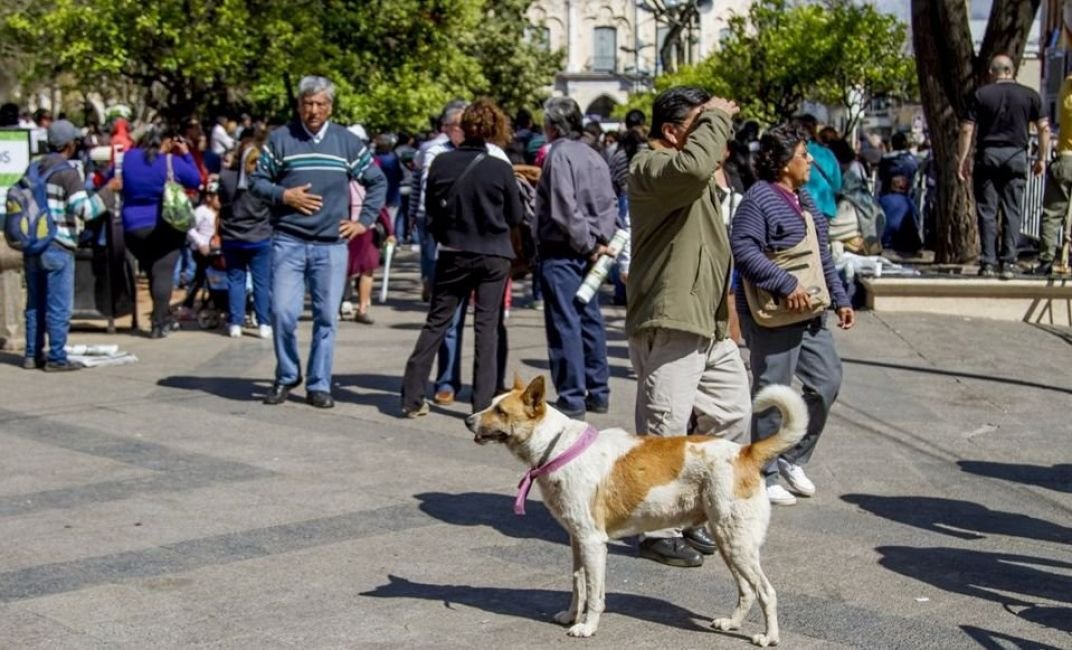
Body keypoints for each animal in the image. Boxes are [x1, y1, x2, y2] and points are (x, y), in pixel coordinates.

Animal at [465, 376, 807, 646]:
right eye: (491, 404)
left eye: (500, 411)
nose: (468, 420)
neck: (557, 447)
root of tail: (745, 452)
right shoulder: (577, 540)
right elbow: (578, 585)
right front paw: (571, 616)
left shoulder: (593, 543)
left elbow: (594, 594)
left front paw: (587, 627)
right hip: (729, 542)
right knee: (747, 590)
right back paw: (732, 623)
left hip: (737, 543)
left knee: (766, 591)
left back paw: (769, 637)